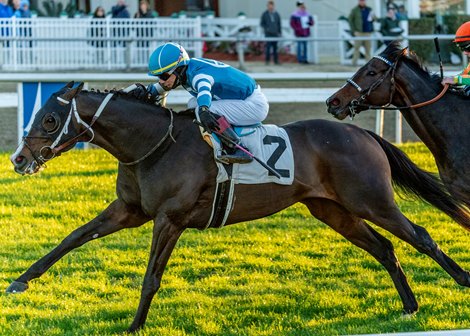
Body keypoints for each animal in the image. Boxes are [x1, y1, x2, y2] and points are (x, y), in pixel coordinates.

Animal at [6, 82, 470, 334]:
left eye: (50, 120)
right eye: (38, 114)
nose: (19, 159)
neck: (153, 144)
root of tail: (364, 135)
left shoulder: (170, 218)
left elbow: (151, 277)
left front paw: (135, 325)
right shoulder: (128, 210)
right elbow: (72, 238)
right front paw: (19, 282)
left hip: (373, 201)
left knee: (420, 236)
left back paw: (461, 281)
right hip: (333, 211)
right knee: (384, 248)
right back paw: (409, 305)